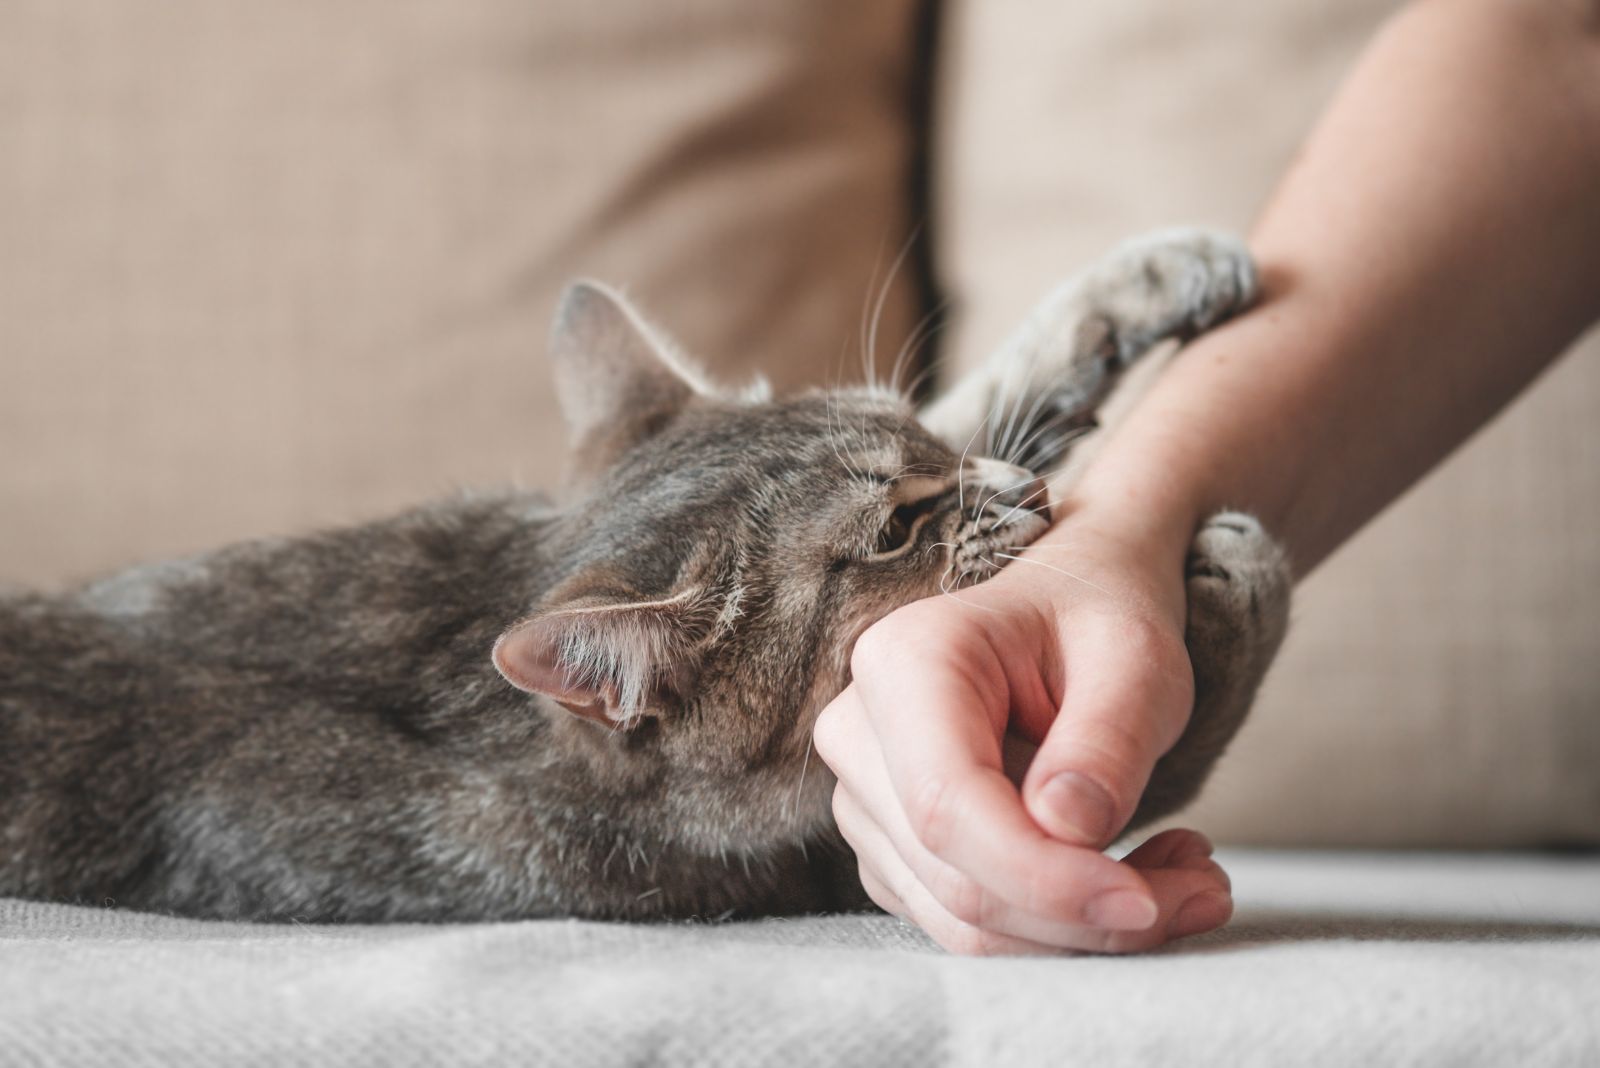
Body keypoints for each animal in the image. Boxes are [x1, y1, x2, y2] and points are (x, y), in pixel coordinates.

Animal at [0, 230, 1286, 920]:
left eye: (918, 444)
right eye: (889, 536)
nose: (1023, 495)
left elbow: (996, 387)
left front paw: (1149, 278)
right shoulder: (824, 863)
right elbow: (1169, 746)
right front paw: (1238, 589)